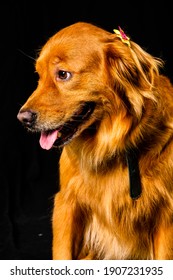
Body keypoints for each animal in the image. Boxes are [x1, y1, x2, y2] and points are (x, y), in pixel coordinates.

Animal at [16, 21, 173, 260]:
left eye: (63, 74)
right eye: (39, 76)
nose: (22, 118)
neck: (111, 145)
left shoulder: (166, 214)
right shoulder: (67, 202)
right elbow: (62, 253)